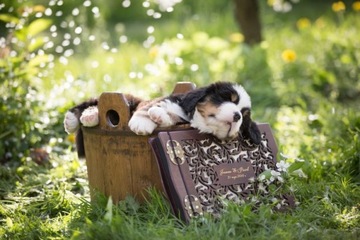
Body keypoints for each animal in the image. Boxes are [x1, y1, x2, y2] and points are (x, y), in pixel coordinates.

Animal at [64, 82, 262, 156]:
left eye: (244, 115)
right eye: (227, 98)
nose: (237, 115)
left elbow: (167, 117)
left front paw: (158, 116)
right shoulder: (165, 101)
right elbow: (151, 107)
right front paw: (142, 122)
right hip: (129, 99)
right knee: (93, 102)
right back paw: (80, 117)